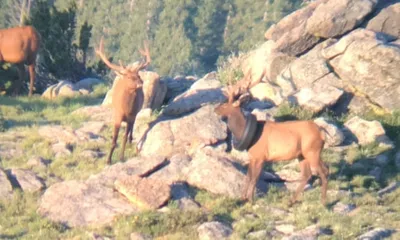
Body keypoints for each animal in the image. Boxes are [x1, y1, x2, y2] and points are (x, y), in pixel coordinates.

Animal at [95, 37, 152, 165]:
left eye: (138, 76)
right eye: (130, 77)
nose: (140, 84)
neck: (126, 109)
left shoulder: (132, 115)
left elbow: (124, 137)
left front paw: (121, 157)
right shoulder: (117, 115)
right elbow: (114, 139)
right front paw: (108, 160)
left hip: (135, 114)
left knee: (131, 128)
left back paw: (131, 140)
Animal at [214, 75, 330, 206]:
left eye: (224, 105)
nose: (215, 109)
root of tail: (321, 132)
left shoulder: (261, 156)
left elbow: (254, 178)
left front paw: (251, 199)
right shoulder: (253, 156)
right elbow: (248, 176)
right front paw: (243, 198)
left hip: (312, 151)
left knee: (324, 171)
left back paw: (323, 202)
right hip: (302, 155)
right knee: (307, 174)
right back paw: (291, 201)